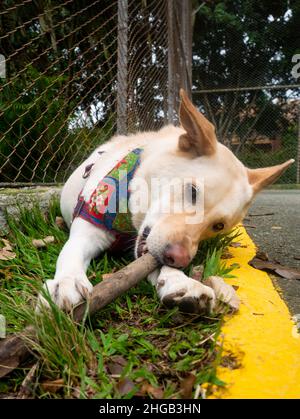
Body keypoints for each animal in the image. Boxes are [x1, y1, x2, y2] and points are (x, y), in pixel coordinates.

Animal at [37, 90, 292, 316]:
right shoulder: (88, 228)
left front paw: (180, 282)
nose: (179, 258)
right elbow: (71, 252)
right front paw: (67, 282)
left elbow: (158, 265)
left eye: (218, 226)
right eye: (192, 192)